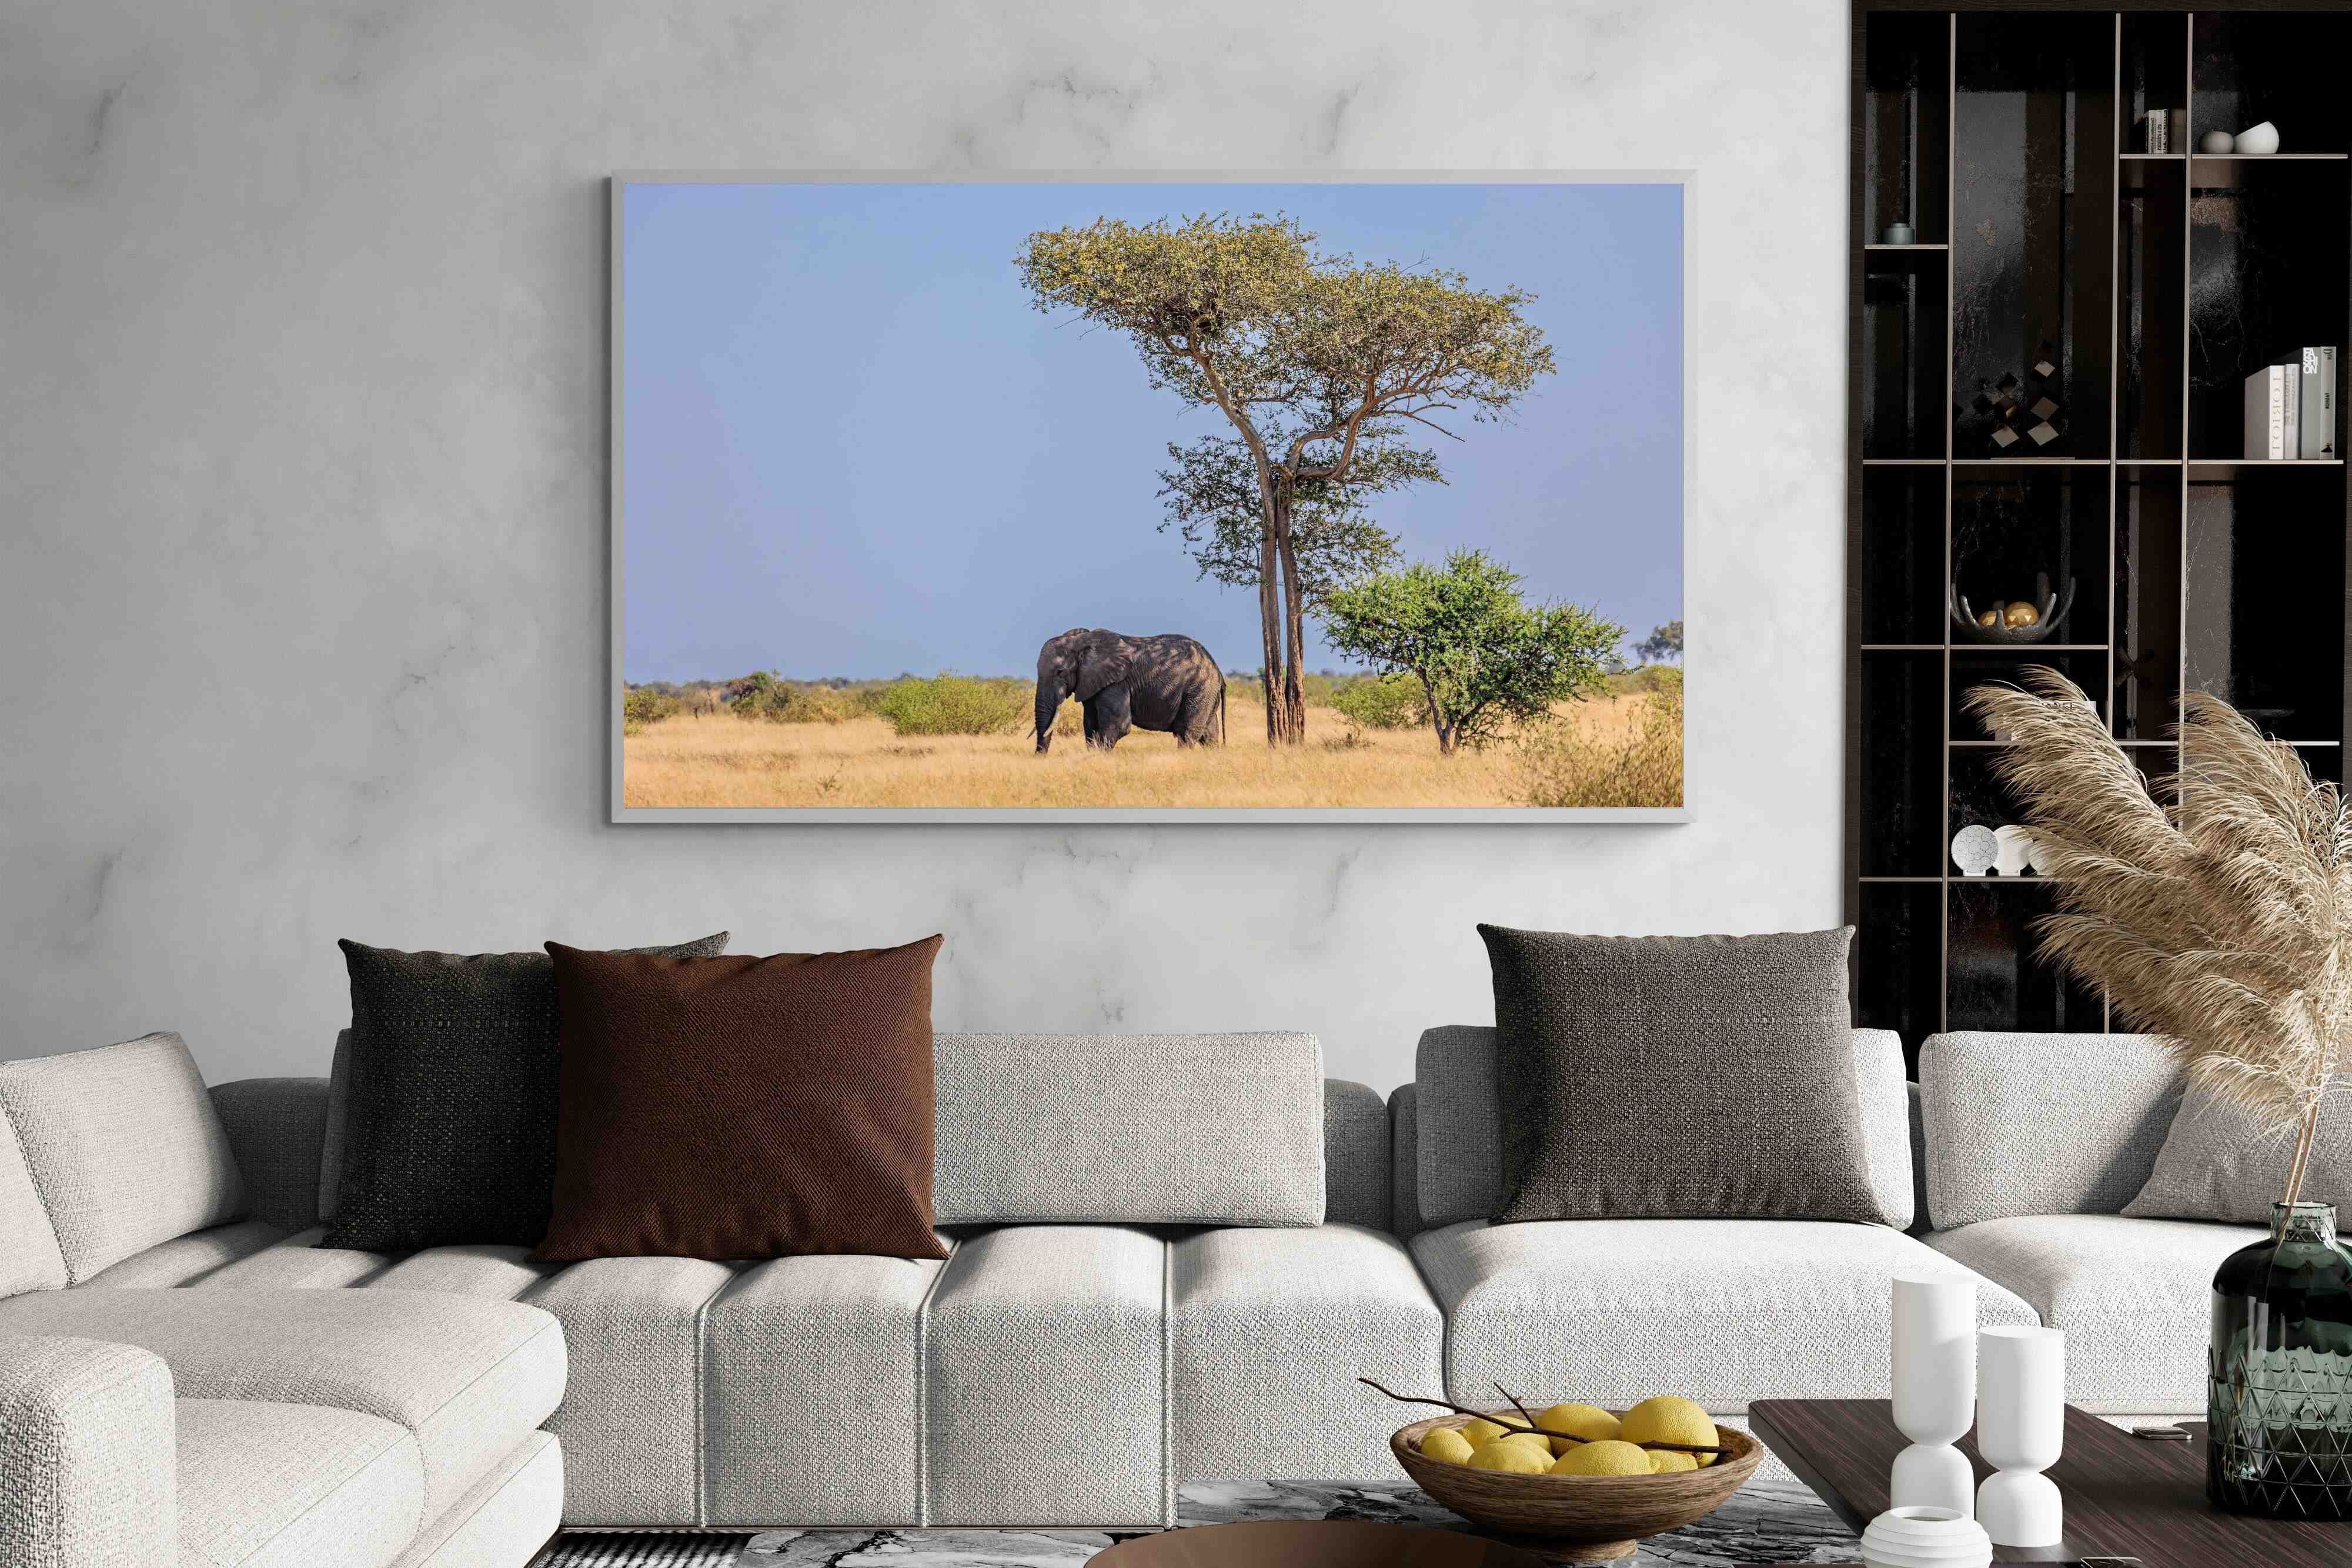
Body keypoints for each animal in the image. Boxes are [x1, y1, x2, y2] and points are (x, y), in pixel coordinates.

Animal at [1034, 628, 1226, 753]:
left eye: (1060, 673)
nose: (1039, 757)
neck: (1081, 641)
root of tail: (1217, 669)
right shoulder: (1091, 683)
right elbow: (1090, 725)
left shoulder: (1117, 683)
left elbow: (1118, 726)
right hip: (1205, 693)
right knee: (1209, 735)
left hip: (1199, 688)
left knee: (1187, 733)